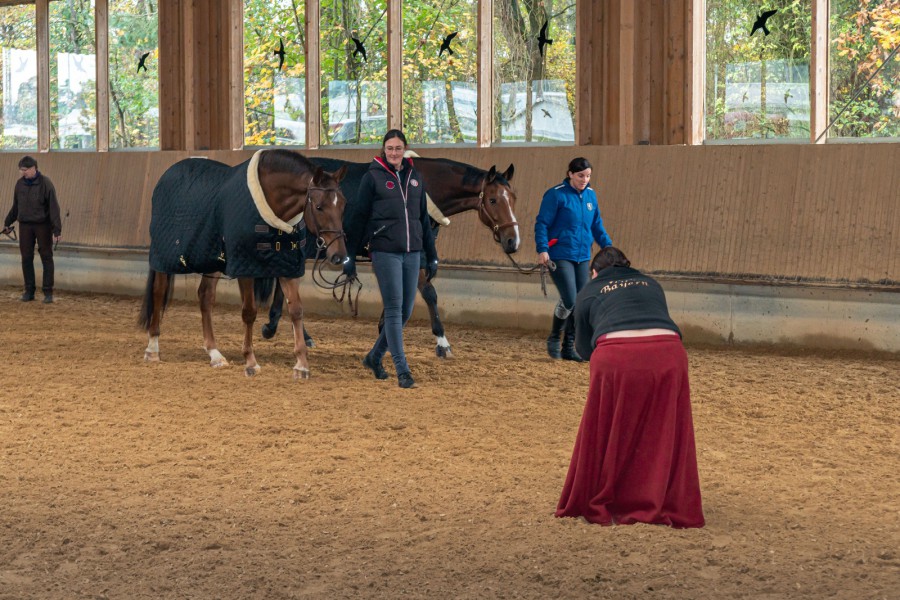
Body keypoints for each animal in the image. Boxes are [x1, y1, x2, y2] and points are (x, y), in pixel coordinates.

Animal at [137, 149, 348, 379]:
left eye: (343, 205)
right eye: (319, 207)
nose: (339, 256)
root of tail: (166, 177)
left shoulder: (287, 267)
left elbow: (296, 310)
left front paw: (301, 365)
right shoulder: (245, 268)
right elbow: (249, 312)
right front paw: (250, 362)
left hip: (212, 259)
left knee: (205, 297)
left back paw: (214, 354)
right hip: (164, 257)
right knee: (159, 291)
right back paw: (152, 348)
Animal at [261, 154, 520, 358]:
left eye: (513, 198)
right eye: (493, 199)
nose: (512, 240)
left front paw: (384, 329)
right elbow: (428, 293)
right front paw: (442, 342)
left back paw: (282, 328)